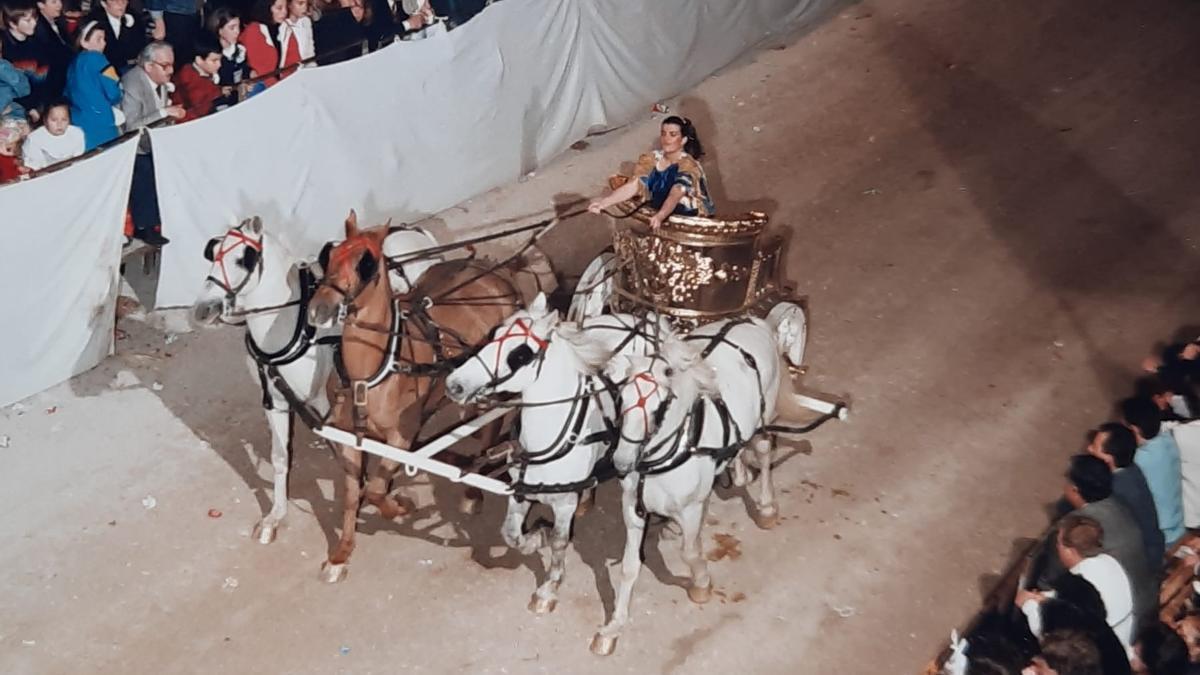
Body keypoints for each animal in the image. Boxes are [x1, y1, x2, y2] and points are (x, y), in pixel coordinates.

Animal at [192, 213, 441, 540]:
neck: (289, 326)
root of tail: (412, 230)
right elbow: (280, 457)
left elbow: (342, 451)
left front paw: (362, 494)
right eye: (212, 252)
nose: (203, 309)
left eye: (242, 259)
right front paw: (276, 516)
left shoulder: (324, 402)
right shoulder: (275, 401)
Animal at [304, 212, 520, 581]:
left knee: (489, 428)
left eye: (366, 263)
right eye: (328, 255)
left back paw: (473, 489)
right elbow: (352, 495)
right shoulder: (349, 440)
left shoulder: (399, 438)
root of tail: (490, 270)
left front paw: (402, 506)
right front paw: (341, 554)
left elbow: (375, 489)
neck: (371, 373)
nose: (320, 308)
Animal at [446, 291, 667, 612]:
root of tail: (641, 318)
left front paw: (548, 588)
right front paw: (537, 536)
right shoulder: (520, 491)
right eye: (493, 334)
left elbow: (561, 542)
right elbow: (511, 535)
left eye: (520, 354)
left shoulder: (563, 504)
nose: (455, 384)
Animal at [590, 312, 806, 653]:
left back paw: (766, 508)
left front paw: (701, 585)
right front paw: (614, 627)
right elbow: (629, 567)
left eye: (658, 407)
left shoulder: (691, 509)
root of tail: (752, 321)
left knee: (763, 452)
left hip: (762, 420)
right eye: (621, 398)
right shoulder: (633, 510)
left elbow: (690, 553)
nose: (622, 463)